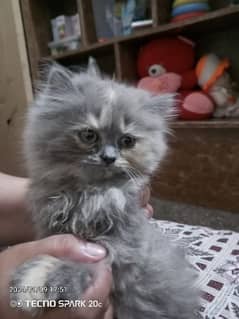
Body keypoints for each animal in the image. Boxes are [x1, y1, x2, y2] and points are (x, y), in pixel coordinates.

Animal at [10, 61, 199, 318]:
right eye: (89, 135)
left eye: (127, 141)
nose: (109, 158)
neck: (89, 194)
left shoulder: (120, 248)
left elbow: (77, 263)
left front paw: (37, 281)